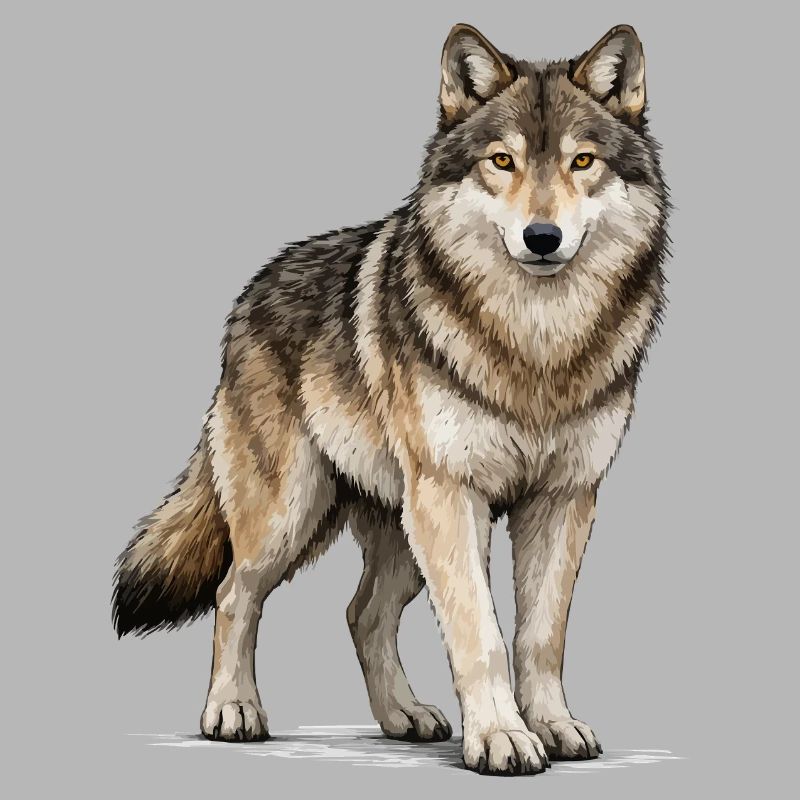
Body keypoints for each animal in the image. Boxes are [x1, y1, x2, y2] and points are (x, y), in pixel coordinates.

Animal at [113, 23, 668, 775]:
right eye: (502, 161)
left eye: (582, 161)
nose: (542, 238)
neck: (535, 344)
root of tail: (249, 292)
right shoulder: (452, 495)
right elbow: (481, 635)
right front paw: (501, 737)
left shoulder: (564, 499)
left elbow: (539, 637)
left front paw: (552, 725)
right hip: (295, 514)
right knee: (235, 593)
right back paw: (232, 711)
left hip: (401, 528)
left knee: (362, 613)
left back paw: (403, 715)